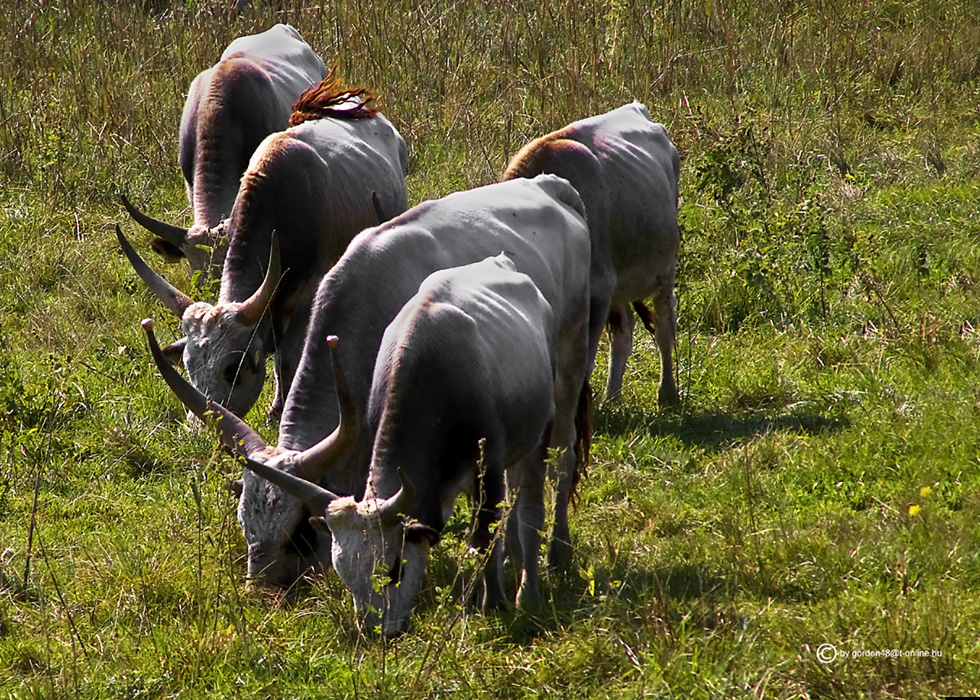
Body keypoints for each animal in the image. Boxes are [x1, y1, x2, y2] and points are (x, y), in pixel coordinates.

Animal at [119, 79, 410, 418]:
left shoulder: (306, 299)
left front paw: (278, 409)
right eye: (189, 366)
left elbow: (286, 357)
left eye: (232, 369)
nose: (203, 423)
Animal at [145, 174, 588, 584]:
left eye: (300, 534)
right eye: (245, 526)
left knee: (561, 455)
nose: (262, 594)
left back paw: (557, 551)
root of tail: (553, 186)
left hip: (571, 365)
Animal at [240, 254, 560, 636]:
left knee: (528, 507)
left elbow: (485, 535)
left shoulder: (491, 464)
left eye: (393, 569)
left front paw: (494, 604)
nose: (375, 632)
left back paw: (529, 591)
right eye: (345, 575)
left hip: (539, 433)